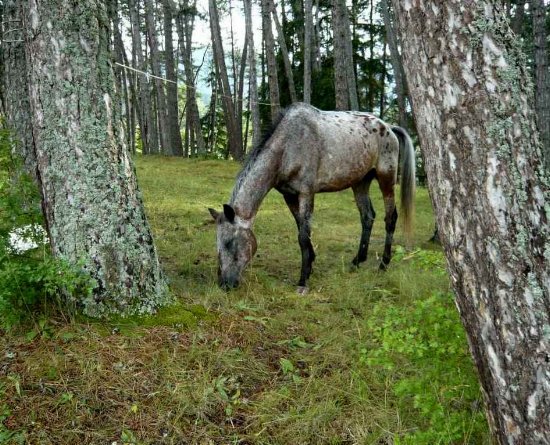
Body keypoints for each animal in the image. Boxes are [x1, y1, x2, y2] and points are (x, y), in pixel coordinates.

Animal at [209, 102, 416, 294]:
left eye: (230, 243)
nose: (225, 284)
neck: (288, 147)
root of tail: (389, 128)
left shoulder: (306, 193)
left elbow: (303, 235)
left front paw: (303, 281)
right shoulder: (290, 196)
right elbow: (302, 230)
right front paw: (310, 265)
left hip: (386, 179)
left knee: (390, 218)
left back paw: (383, 264)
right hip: (360, 183)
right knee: (367, 217)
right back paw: (357, 261)